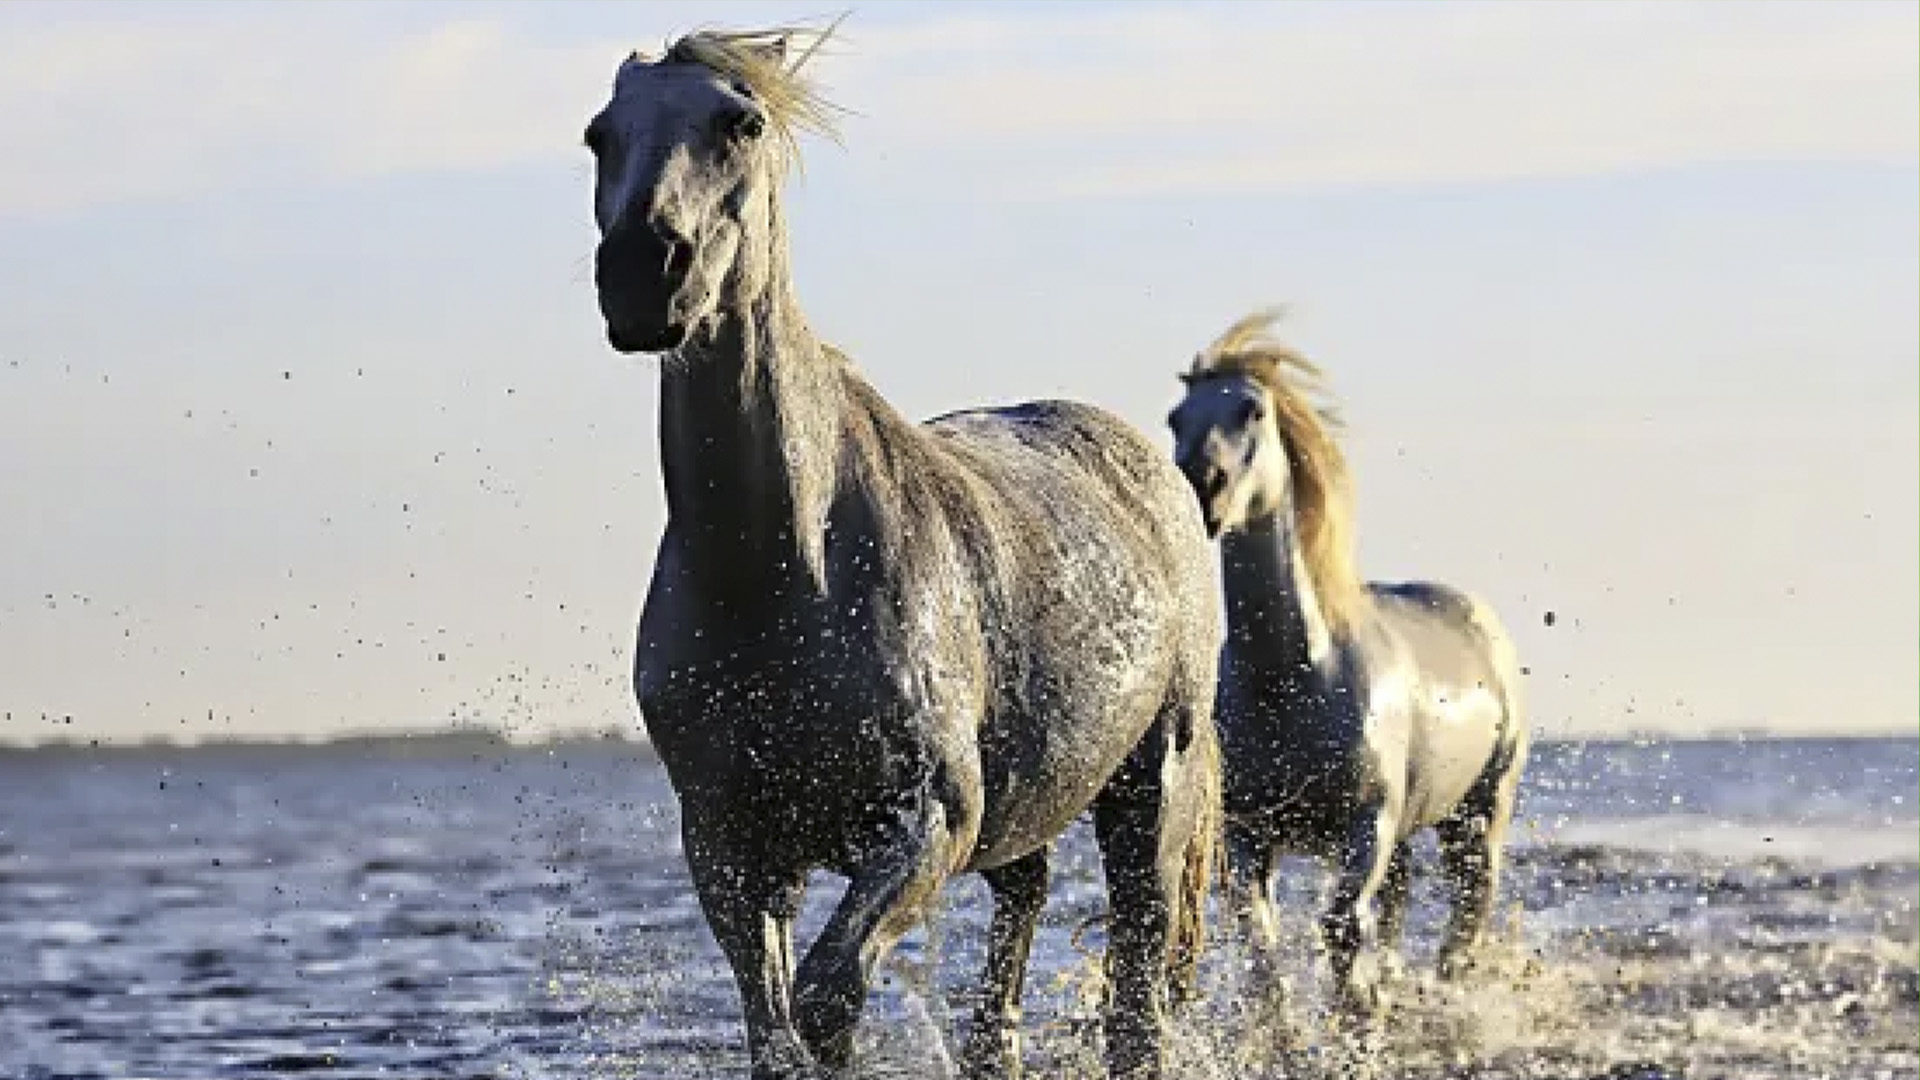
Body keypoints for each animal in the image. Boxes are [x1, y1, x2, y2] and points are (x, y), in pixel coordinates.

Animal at [579, 27, 1213, 1076]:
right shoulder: (731, 847)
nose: (643, 270)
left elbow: (829, 999)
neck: (780, 572)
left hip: (1149, 788)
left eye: (741, 123)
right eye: (600, 133)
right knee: (1018, 933)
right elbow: (778, 1027)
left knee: (1137, 988)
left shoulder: (925, 823)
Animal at [1159, 309, 1520, 1006]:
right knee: (1403, 902)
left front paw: (1359, 1010)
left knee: (1467, 913)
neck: (1293, 679)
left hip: (1479, 813)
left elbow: (1342, 929)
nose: (1202, 484)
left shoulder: (1365, 824)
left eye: (1252, 410)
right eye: (1175, 417)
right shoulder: (1249, 836)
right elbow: (1264, 950)